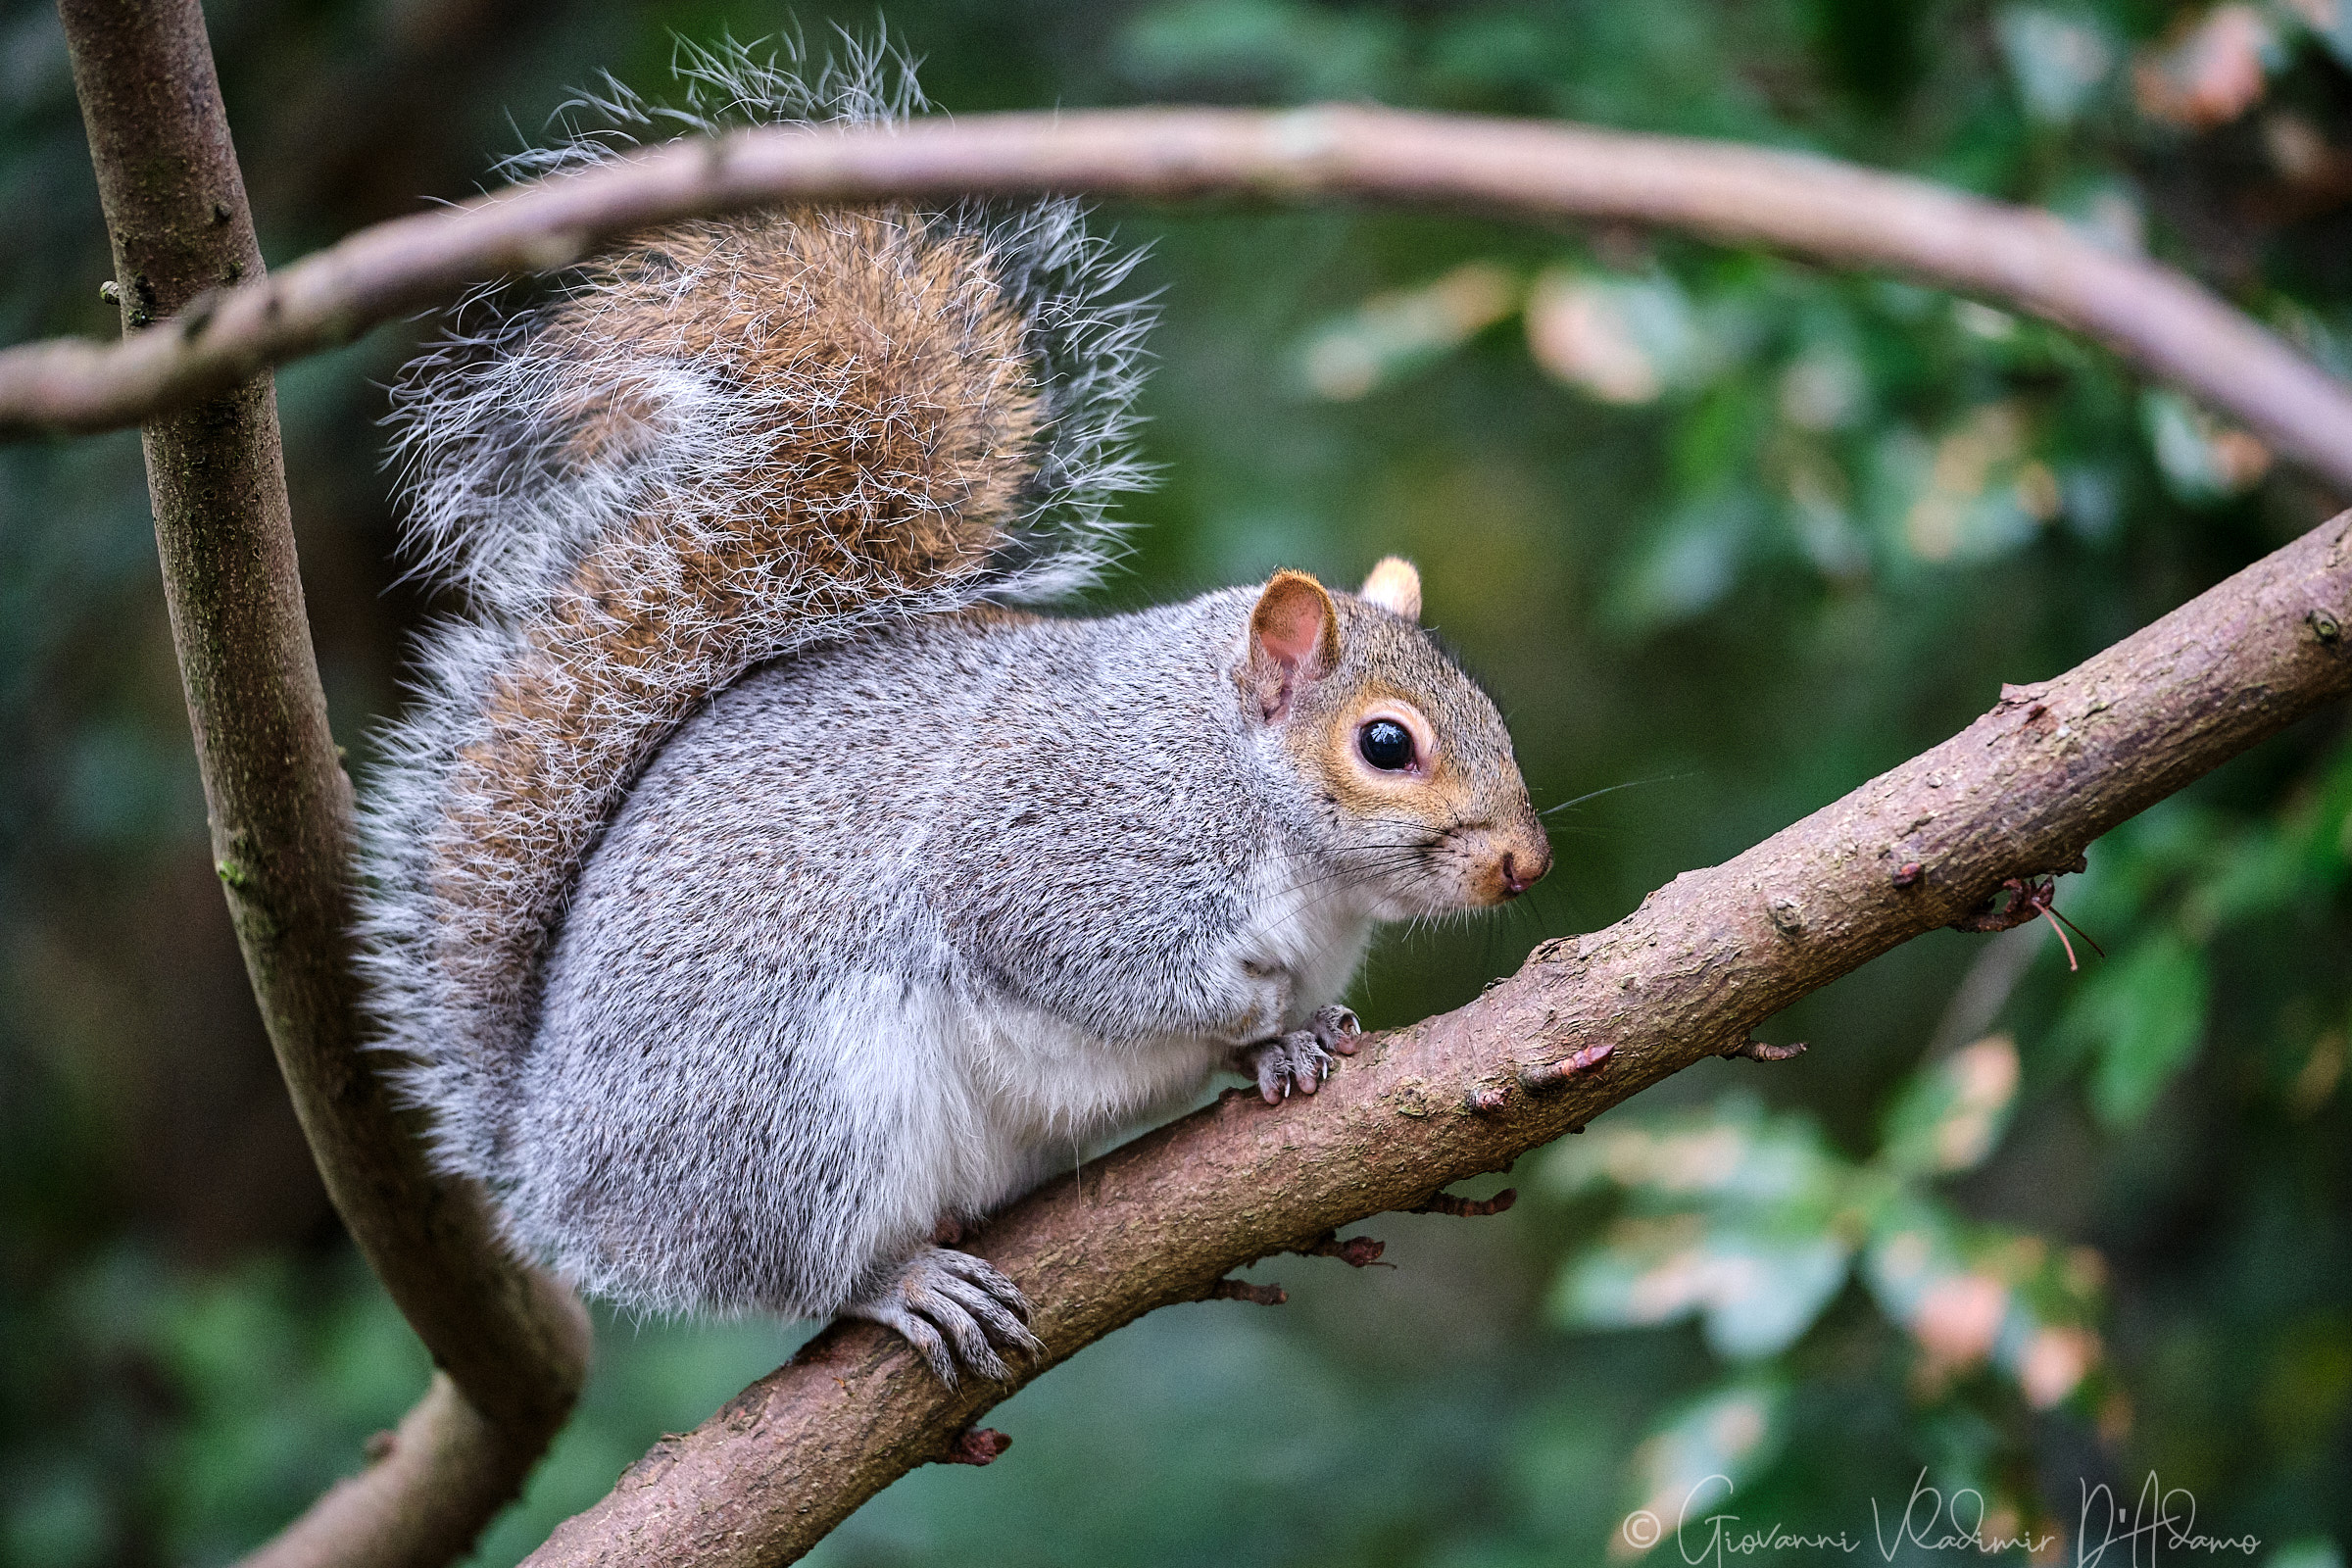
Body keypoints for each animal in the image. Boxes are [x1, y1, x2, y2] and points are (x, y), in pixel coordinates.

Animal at [357, 48, 1552, 1385]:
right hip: (790, 1112)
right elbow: (1082, 956)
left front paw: (1286, 1041)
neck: (1228, 776)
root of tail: (549, 1160)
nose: (1525, 863)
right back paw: (903, 1280)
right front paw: (1249, 1008)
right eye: (1386, 744)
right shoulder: (1056, 840)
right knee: (800, 1264)